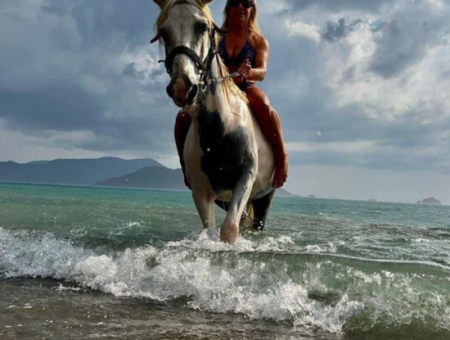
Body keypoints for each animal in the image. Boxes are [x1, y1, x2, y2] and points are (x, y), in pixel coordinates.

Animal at [153, 0, 276, 244]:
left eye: (202, 26)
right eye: (163, 31)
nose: (182, 86)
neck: (221, 129)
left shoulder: (245, 177)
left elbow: (229, 230)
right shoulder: (201, 190)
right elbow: (210, 230)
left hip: (264, 196)